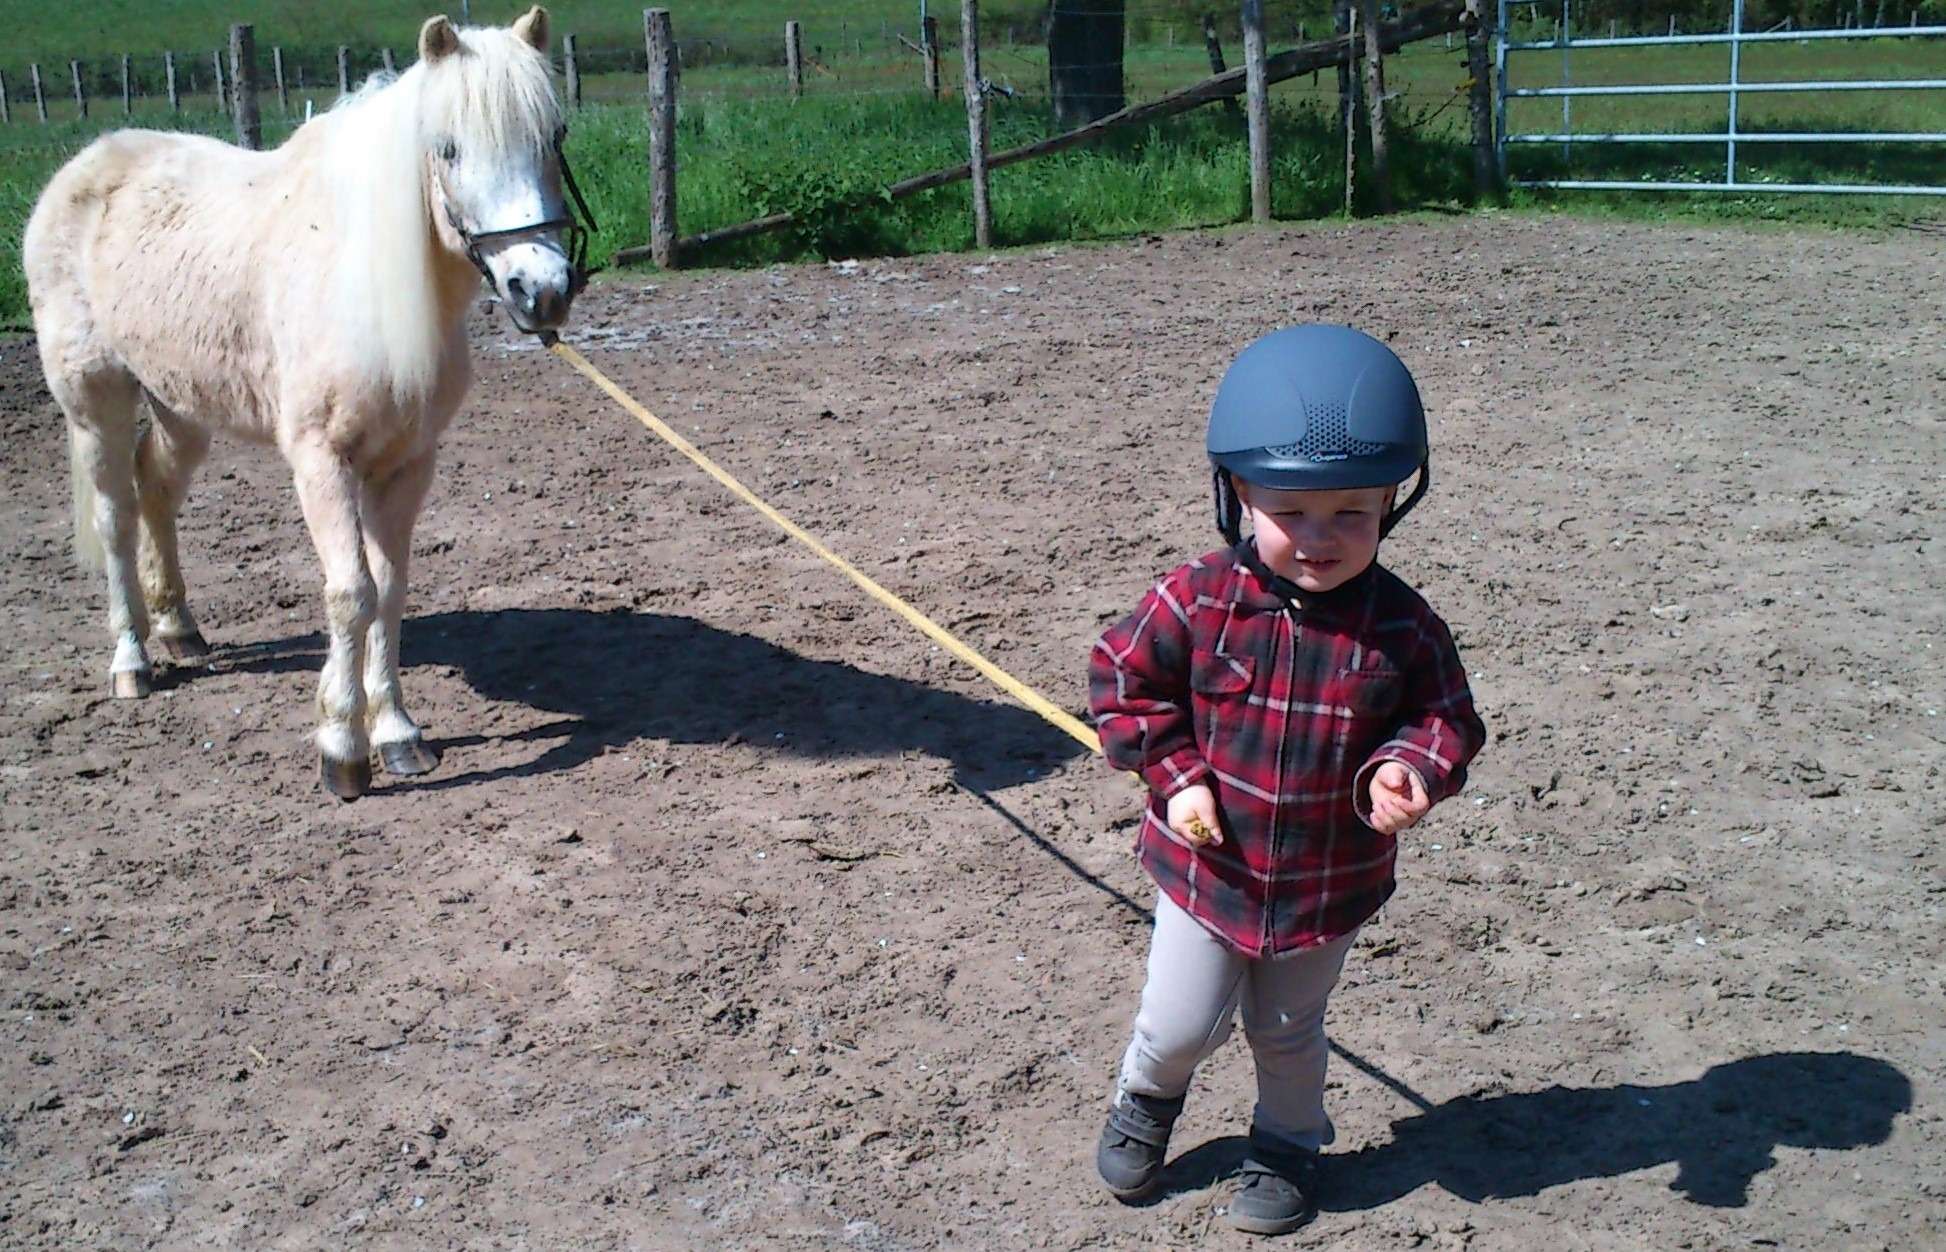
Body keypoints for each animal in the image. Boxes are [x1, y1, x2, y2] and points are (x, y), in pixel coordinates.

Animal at [24, 8, 586, 800]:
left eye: (554, 134)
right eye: (447, 147)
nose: (540, 291)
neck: (364, 279)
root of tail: (82, 168)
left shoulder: (407, 462)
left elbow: (390, 589)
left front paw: (399, 734)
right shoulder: (322, 462)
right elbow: (350, 593)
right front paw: (342, 750)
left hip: (181, 408)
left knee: (155, 489)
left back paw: (179, 630)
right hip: (93, 399)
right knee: (114, 518)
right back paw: (131, 662)